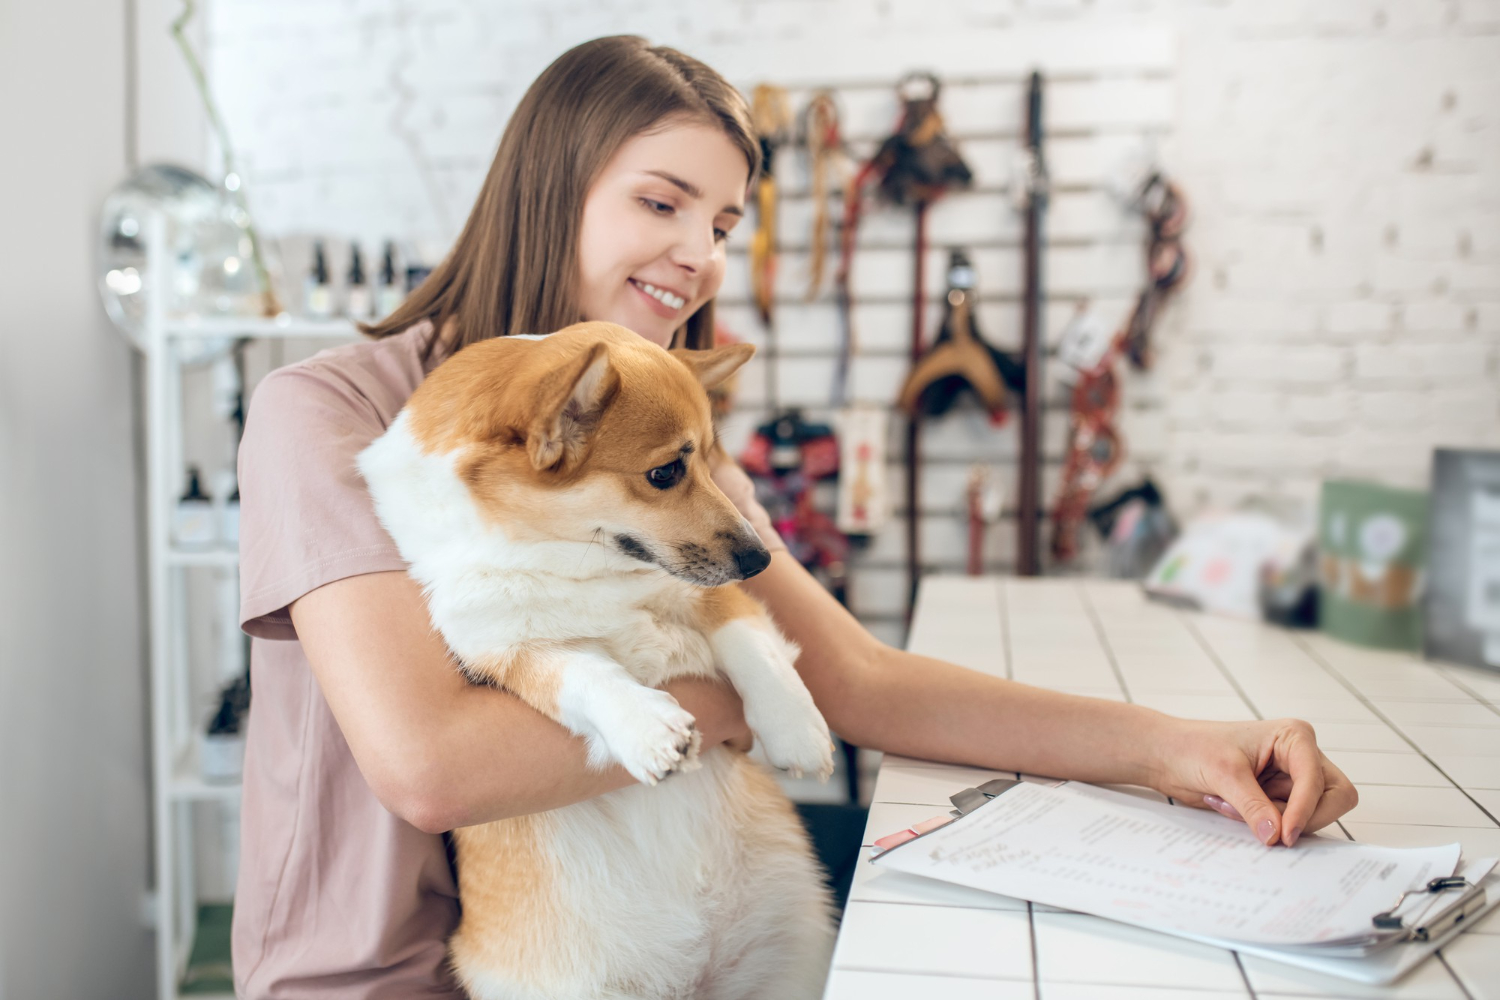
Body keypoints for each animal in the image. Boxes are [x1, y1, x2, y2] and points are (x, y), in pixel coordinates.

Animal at [355, 322, 840, 1000]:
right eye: (665, 472)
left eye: (710, 460)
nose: (762, 559)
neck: (576, 564)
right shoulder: (511, 650)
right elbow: (588, 676)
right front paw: (649, 730)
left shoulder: (711, 596)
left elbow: (755, 650)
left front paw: (796, 730)